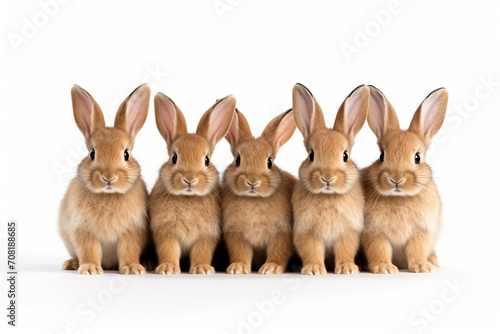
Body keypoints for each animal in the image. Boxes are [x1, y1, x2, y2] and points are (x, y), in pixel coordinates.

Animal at [58, 83, 150, 274]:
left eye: (126, 154)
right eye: (92, 153)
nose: (108, 178)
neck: (108, 195)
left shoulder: (133, 231)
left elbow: (129, 249)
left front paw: (132, 268)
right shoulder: (83, 230)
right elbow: (89, 250)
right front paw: (90, 268)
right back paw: (71, 264)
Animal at [150, 93, 236, 274]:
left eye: (206, 160)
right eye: (174, 158)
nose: (189, 179)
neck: (188, 198)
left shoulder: (206, 235)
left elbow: (202, 252)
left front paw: (201, 269)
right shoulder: (166, 233)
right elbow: (168, 250)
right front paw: (168, 268)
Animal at [222, 107, 296, 274]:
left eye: (269, 162)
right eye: (237, 160)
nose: (252, 181)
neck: (253, 198)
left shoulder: (282, 233)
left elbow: (279, 251)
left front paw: (271, 268)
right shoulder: (235, 234)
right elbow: (240, 252)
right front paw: (238, 268)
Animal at [292, 83, 370, 274]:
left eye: (345, 155)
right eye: (311, 155)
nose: (327, 178)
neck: (328, 196)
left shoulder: (347, 232)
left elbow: (345, 250)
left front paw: (347, 268)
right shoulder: (306, 232)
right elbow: (311, 250)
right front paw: (314, 269)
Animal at [360, 86, 450, 274]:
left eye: (417, 157)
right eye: (382, 156)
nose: (396, 179)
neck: (399, 197)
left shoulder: (422, 232)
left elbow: (417, 249)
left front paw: (422, 267)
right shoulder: (374, 233)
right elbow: (379, 249)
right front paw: (385, 268)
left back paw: (433, 261)